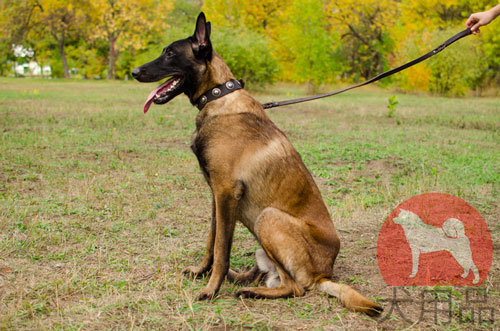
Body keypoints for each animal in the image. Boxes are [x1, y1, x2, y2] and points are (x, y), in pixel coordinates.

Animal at [132, 12, 382, 316]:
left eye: (170, 53)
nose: (134, 72)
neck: (218, 96)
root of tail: (325, 275)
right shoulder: (216, 196)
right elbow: (212, 242)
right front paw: (203, 272)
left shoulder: (226, 192)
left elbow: (222, 249)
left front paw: (210, 289)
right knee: (267, 276)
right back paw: (242, 281)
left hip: (268, 218)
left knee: (295, 287)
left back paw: (251, 290)